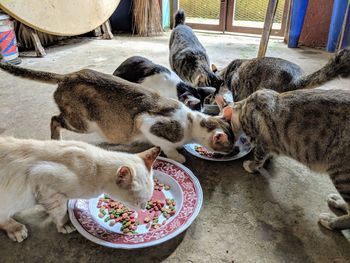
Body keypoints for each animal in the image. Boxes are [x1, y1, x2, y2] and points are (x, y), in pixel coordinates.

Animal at [0, 59, 235, 164]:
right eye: (230, 145)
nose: (234, 151)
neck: (191, 121)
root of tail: (70, 75)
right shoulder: (147, 122)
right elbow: (167, 146)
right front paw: (178, 156)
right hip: (82, 123)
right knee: (54, 119)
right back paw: (55, 140)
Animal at [0, 138, 161, 243]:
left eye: (147, 201)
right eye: (138, 202)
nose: (144, 208)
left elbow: (51, 207)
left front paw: (47, 211)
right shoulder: (44, 183)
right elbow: (59, 211)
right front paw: (64, 223)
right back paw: (16, 229)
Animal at [220, 89, 350, 232]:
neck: (246, 107)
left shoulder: (263, 142)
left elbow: (258, 157)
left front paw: (251, 165)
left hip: (342, 174)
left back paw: (331, 221)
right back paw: (337, 201)